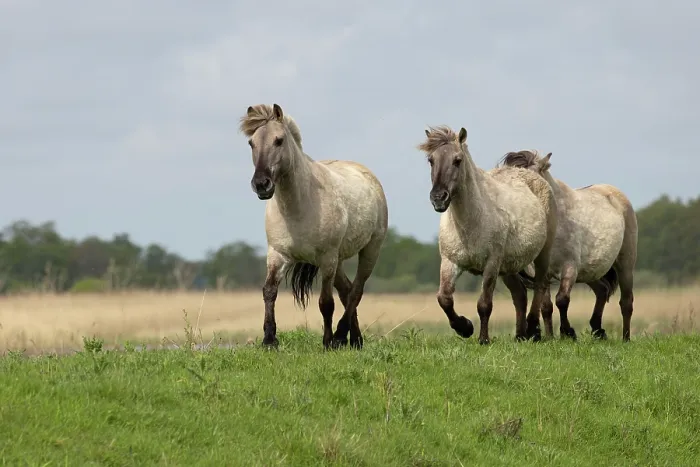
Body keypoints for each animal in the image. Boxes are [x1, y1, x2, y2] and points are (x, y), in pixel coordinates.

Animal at [239, 103, 388, 349]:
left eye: (279, 140)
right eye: (251, 143)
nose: (261, 184)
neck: (298, 206)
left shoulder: (326, 259)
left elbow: (326, 302)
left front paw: (327, 342)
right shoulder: (277, 255)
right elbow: (269, 292)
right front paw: (269, 340)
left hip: (369, 251)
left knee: (355, 291)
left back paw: (341, 336)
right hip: (339, 261)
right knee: (347, 291)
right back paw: (355, 339)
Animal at [417, 126, 558, 344]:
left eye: (457, 160)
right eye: (431, 160)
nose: (438, 198)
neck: (471, 222)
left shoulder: (491, 264)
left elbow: (484, 304)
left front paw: (483, 339)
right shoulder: (450, 262)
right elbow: (444, 299)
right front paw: (465, 328)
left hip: (541, 255)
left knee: (540, 288)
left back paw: (534, 329)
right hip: (510, 267)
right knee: (520, 295)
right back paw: (520, 335)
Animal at [498, 150, 638, 341]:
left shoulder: (569, 267)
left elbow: (562, 300)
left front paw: (568, 332)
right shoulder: (543, 273)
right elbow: (546, 306)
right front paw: (550, 337)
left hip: (625, 265)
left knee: (626, 302)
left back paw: (625, 338)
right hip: (590, 271)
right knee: (602, 291)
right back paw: (597, 330)